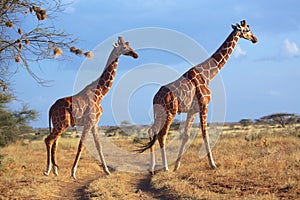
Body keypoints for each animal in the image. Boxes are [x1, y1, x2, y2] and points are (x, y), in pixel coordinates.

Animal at [43, 36, 138, 180]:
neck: (100, 93)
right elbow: (81, 145)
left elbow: (99, 145)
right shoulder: (89, 122)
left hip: (58, 124)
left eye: (129, 45)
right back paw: (47, 170)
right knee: (48, 140)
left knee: (55, 142)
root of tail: (51, 108)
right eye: (124, 47)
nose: (135, 55)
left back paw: (55, 170)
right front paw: (73, 172)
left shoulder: (95, 123)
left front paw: (107, 170)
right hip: (62, 124)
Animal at [138, 19, 258, 173]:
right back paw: (165, 167)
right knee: (161, 134)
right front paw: (213, 164)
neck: (208, 75)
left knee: (151, 130)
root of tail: (154, 98)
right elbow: (205, 133)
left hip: (159, 113)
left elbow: (186, 136)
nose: (255, 39)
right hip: (170, 112)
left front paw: (177, 166)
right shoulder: (204, 105)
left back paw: (152, 168)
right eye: (247, 30)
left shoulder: (192, 110)